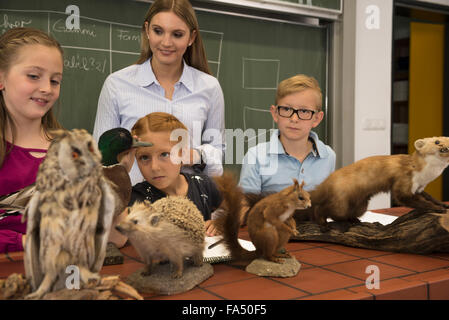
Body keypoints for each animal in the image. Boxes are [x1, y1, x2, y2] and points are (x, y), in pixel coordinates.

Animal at [308, 136, 448, 228]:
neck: (425, 174)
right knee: (322, 209)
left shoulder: (419, 187)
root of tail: (327, 181)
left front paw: (442, 204)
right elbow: (405, 198)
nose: (445, 147)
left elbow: (428, 197)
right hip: (341, 201)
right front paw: (437, 208)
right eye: (437, 142)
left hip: (361, 204)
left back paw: (354, 220)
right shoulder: (404, 181)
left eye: (448, 139)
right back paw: (323, 223)